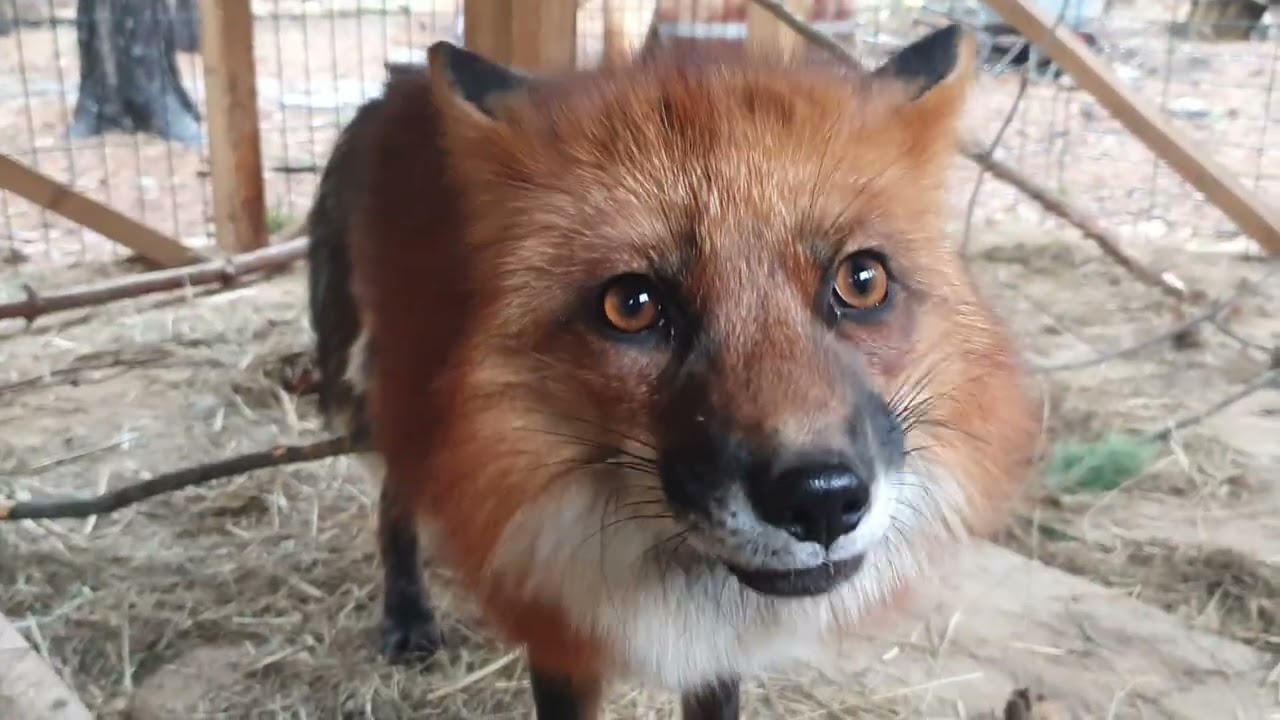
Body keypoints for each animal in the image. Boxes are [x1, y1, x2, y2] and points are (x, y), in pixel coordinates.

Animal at [307, 20, 1041, 720]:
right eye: (631, 305)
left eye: (862, 281)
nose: (822, 499)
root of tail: (397, 84)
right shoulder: (560, 639)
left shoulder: (717, 657)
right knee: (394, 500)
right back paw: (406, 614)